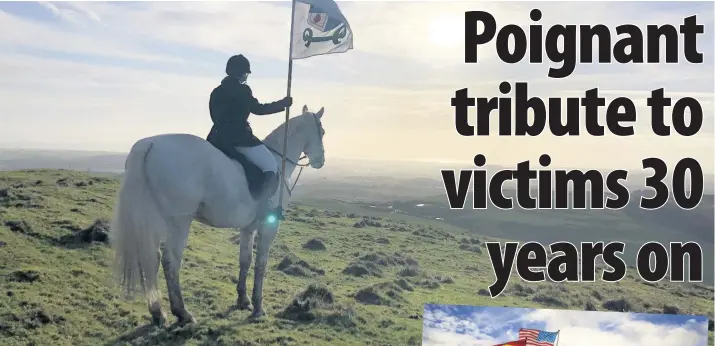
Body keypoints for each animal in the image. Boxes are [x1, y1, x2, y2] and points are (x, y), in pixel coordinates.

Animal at [111, 104, 328, 324]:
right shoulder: (269, 226)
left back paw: (158, 313)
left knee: (150, 258)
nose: (321, 161)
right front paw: (258, 308)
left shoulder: (248, 228)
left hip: (151, 218)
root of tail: (150, 144)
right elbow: (261, 264)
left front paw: (243, 300)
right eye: (322, 131)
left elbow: (245, 260)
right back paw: (182, 312)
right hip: (179, 222)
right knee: (170, 261)